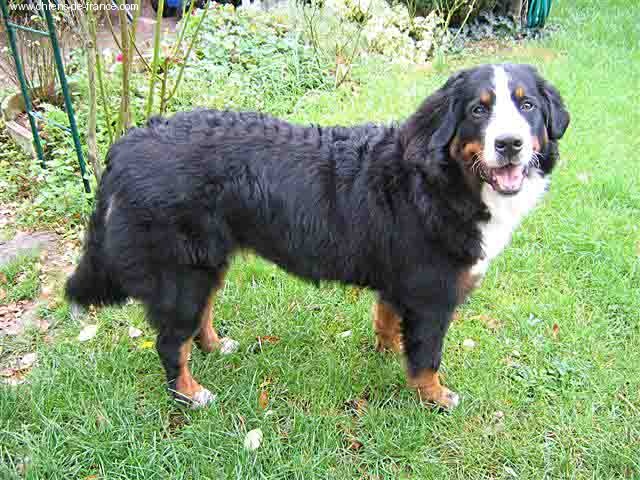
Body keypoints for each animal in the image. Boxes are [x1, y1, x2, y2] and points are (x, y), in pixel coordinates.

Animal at [66, 63, 569, 409]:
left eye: (526, 105)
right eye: (478, 109)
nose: (509, 144)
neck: (438, 182)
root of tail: (125, 145)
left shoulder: (400, 283)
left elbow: (388, 322)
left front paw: (387, 354)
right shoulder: (432, 296)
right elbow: (427, 358)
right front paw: (434, 397)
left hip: (208, 261)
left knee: (198, 319)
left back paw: (215, 346)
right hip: (181, 272)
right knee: (171, 342)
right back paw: (191, 393)